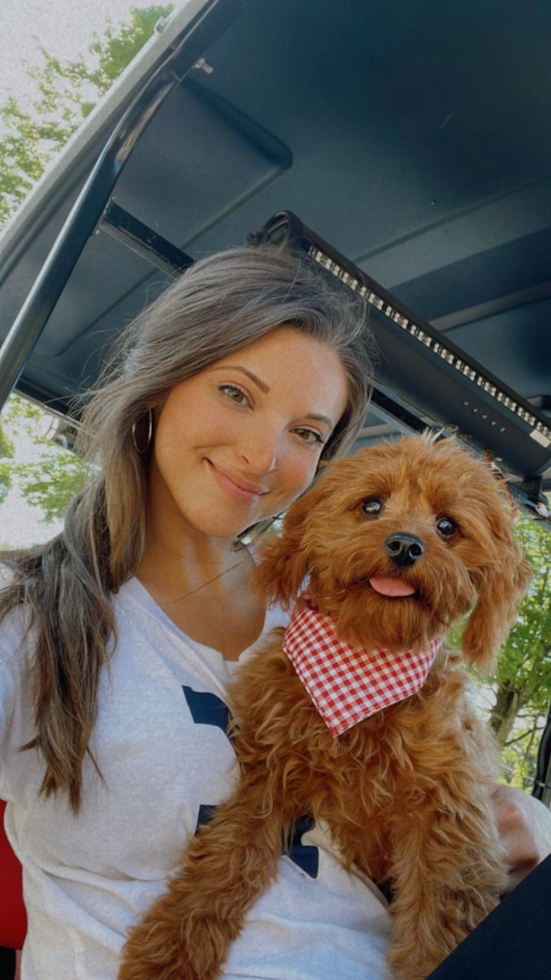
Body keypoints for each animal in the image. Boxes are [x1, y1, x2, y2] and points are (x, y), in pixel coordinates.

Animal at [118, 436, 532, 980]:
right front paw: (169, 950)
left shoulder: (447, 817)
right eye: (371, 505)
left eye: (447, 526)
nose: (405, 544)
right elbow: (227, 855)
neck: (361, 667)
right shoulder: (270, 775)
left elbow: (439, 921)